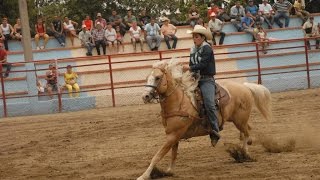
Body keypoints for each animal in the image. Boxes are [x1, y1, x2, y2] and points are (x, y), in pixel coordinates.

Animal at [139, 59, 272, 179]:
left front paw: (144, 175)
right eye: (147, 77)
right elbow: (173, 154)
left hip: (239, 120)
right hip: (238, 120)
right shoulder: (173, 135)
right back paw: (246, 145)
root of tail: (245, 87)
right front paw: (169, 171)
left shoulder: (173, 135)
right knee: (248, 129)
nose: (145, 96)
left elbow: (157, 156)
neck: (179, 102)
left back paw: (245, 153)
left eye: (157, 77)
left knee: (246, 132)